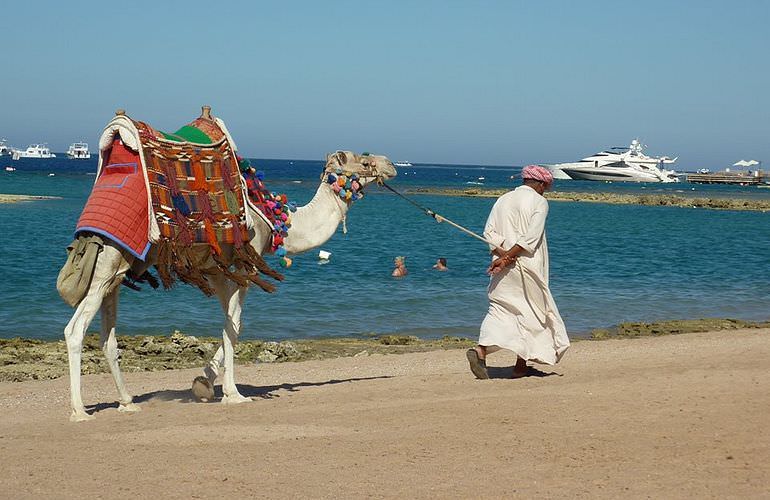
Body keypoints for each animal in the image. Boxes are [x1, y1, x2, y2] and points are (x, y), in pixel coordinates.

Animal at [63, 110, 396, 422]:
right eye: (364, 161)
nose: (391, 164)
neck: (275, 218)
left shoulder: (217, 270)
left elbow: (231, 325)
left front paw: (203, 383)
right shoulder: (244, 264)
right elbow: (233, 327)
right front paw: (232, 393)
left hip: (117, 270)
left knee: (107, 337)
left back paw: (127, 402)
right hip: (108, 262)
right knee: (75, 329)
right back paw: (80, 410)